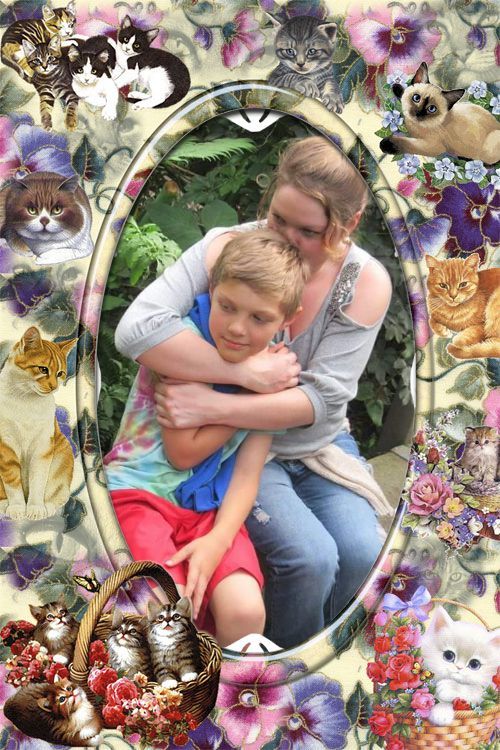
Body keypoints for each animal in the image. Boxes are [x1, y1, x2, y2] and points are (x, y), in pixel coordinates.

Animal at [0, 326, 76, 520]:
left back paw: (47, 507)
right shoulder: (6, 446)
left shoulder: (43, 447)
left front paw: (35, 508)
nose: (54, 386)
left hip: (64, 452)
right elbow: (13, 483)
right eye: (43, 369)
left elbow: (38, 480)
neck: (26, 401)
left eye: (60, 373)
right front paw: (17, 508)